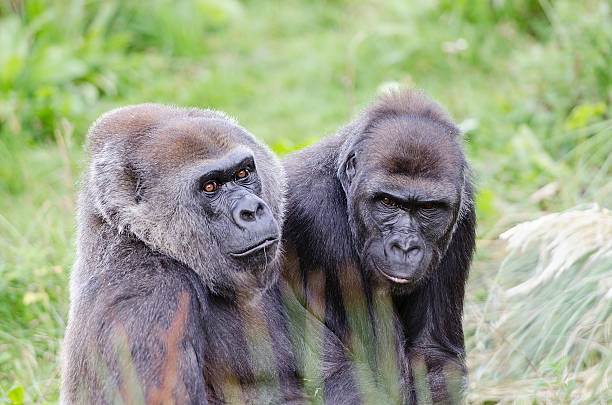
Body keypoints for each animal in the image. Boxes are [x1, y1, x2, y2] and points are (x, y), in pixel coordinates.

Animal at [282, 90, 478, 404]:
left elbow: (434, 354)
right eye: (387, 202)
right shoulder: (317, 215)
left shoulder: (463, 214)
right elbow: (378, 376)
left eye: (428, 208)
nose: (405, 246)